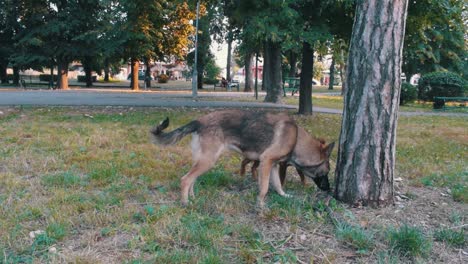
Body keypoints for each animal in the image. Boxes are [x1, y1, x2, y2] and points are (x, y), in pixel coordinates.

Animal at [150, 110, 332, 208]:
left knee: (192, 179)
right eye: (327, 171)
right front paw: (261, 205)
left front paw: (283, 195)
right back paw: (185, 203)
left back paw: (192, 198)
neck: (296, 138)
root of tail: (199, 121)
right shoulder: (266, 162)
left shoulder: (272, 165)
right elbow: (264, 188)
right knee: (185, 179)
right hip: (208, 161)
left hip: (202, 161)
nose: (329, 190)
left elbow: (278, 184)